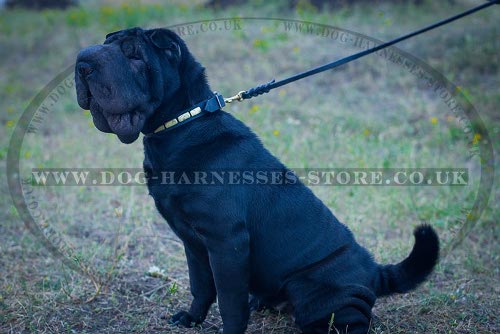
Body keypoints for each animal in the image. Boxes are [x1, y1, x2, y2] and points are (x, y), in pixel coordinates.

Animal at [74, 28, 438, 334]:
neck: (180, 128)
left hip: (314, 291)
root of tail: (373, 269)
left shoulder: (226, 242)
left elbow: (229, 302)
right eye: (109, 43)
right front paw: (191, 318)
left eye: (133, 53)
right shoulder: (193, 242)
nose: (82, 62)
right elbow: (201, 286)